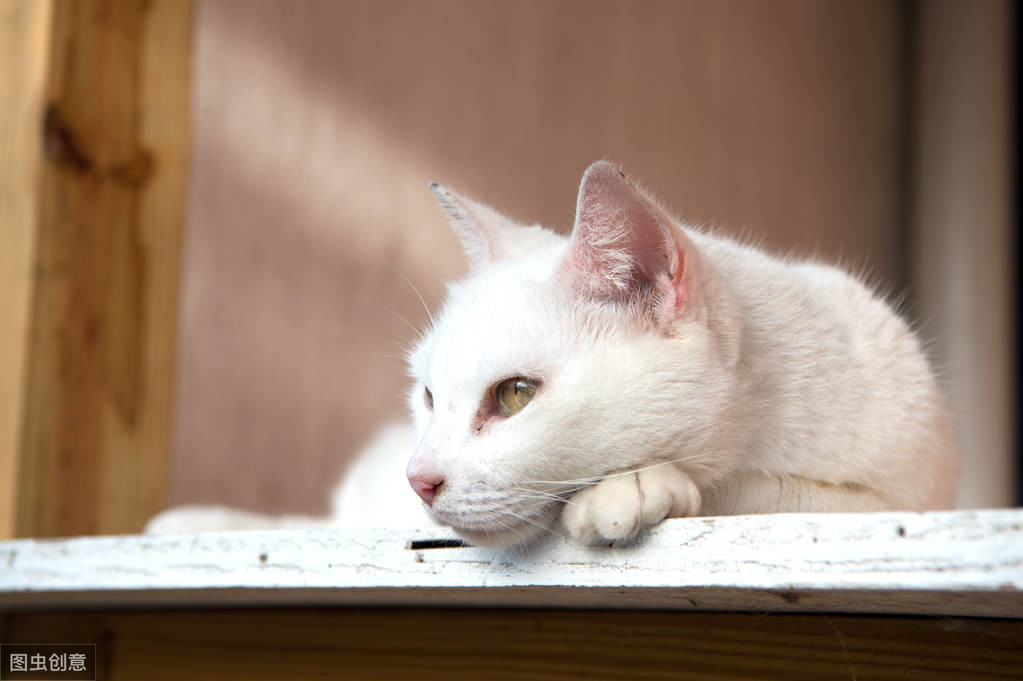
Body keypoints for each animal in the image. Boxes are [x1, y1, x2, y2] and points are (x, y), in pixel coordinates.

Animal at [149, 163, 957, 548]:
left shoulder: (905, 498)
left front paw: (632, 487)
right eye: (429, 397)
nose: (419, 479)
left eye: (513, 395)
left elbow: (759, 490)